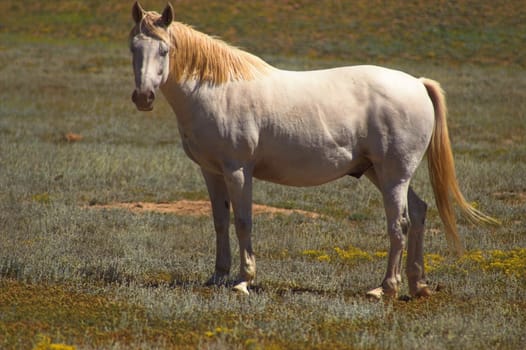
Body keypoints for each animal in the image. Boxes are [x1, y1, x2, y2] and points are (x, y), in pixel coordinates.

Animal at [129, 2, 500, 298]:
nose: (143, 97)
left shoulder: (237, 170)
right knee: (420, 213)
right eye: (133, 48)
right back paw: (417, 284)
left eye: (164, 51)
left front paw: (243, 280)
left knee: (400, 224)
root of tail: (417, 84)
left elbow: (243, 221)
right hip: (380, 173)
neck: (217, 90)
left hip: (394, 174)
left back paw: (385, 288)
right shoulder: (211, 171)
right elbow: (220, 221)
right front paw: (217, 277)